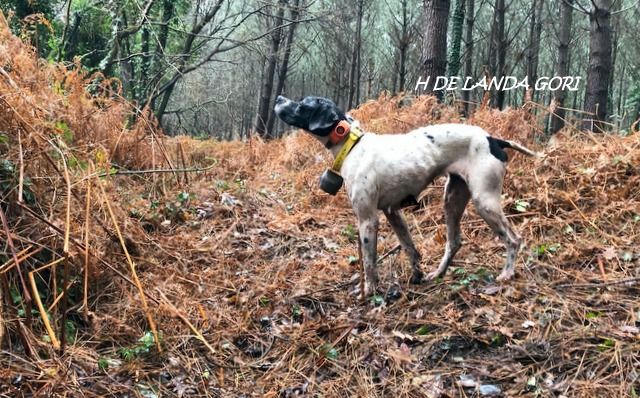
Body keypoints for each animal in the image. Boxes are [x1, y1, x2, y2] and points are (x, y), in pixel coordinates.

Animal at [274, 95, 536, 296]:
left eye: (302, 104)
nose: (278, 98)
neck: (352, 144)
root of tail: (493, 139)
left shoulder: (368, 220)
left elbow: (369, 262)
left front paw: (369, 292)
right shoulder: (393, 212)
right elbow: (410, 248)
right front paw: (417, 275)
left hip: (485, 201)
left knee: (513, 240)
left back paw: (507, 273)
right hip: (452, 200)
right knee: (454, 242)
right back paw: (437, 274)